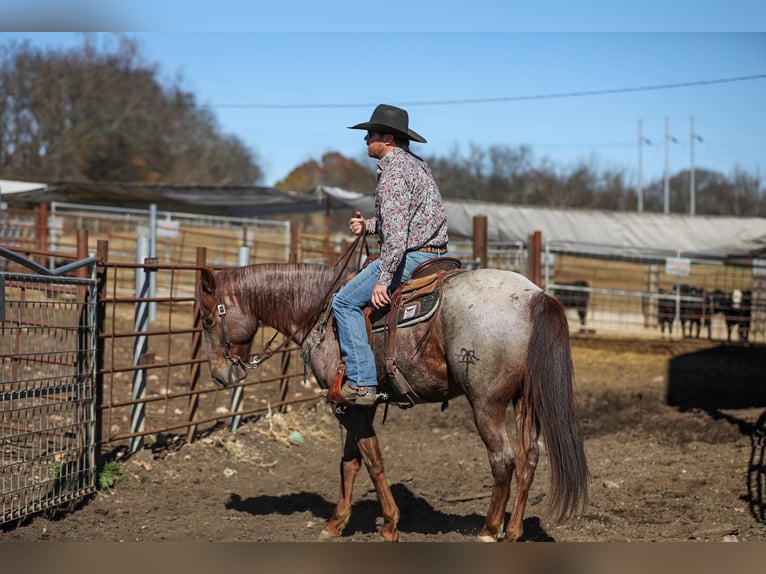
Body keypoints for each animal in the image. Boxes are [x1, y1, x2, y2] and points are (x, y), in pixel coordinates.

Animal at [196, 254, 588, 544]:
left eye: (207, 320)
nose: (219, 375)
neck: (322, 312)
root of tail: (534, 296)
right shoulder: (356, 406)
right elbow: (350, 461)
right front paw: (336, 523)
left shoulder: (349, 406)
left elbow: (371, 461)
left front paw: (388, 525)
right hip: (526, 402)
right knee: (528, 459)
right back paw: (513, 532)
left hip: (486, 404)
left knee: (503, 460)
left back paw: (489, 530)